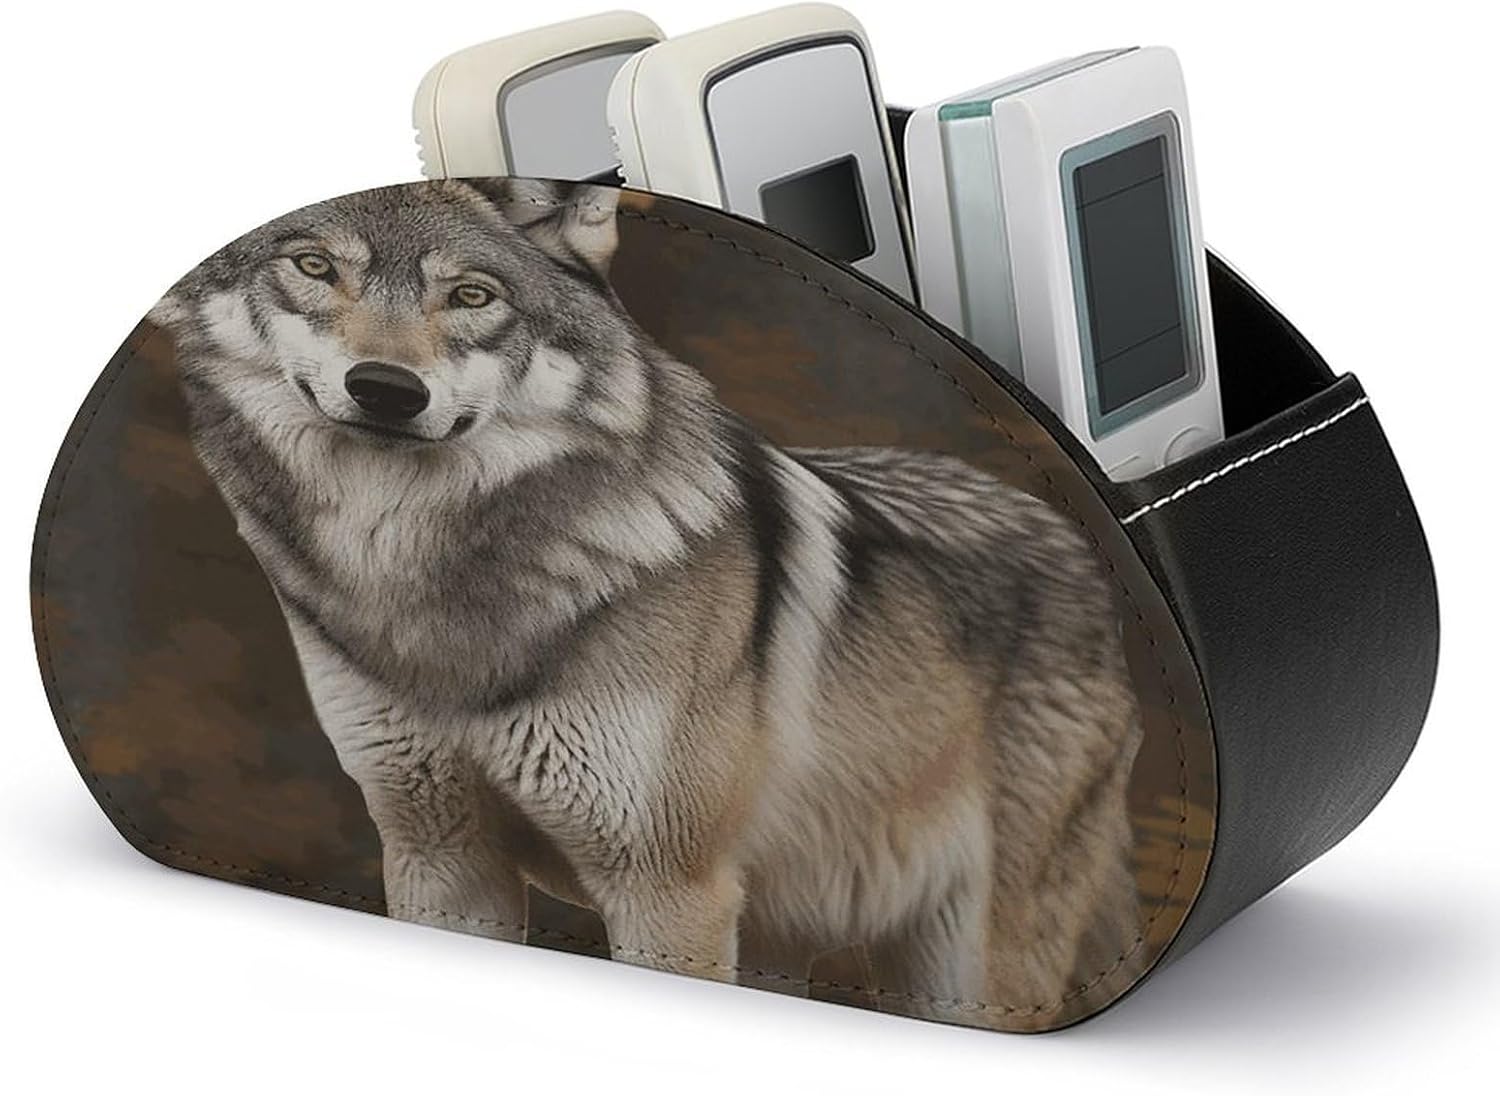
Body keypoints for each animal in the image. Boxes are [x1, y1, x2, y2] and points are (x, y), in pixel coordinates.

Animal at [149, 178, 1144, 1029]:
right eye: (315, 266)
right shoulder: (438, 853)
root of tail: (1083, 550)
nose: (386, 391)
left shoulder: (668, 891)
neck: (428, 592)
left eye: (472, 296)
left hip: (965, 967)